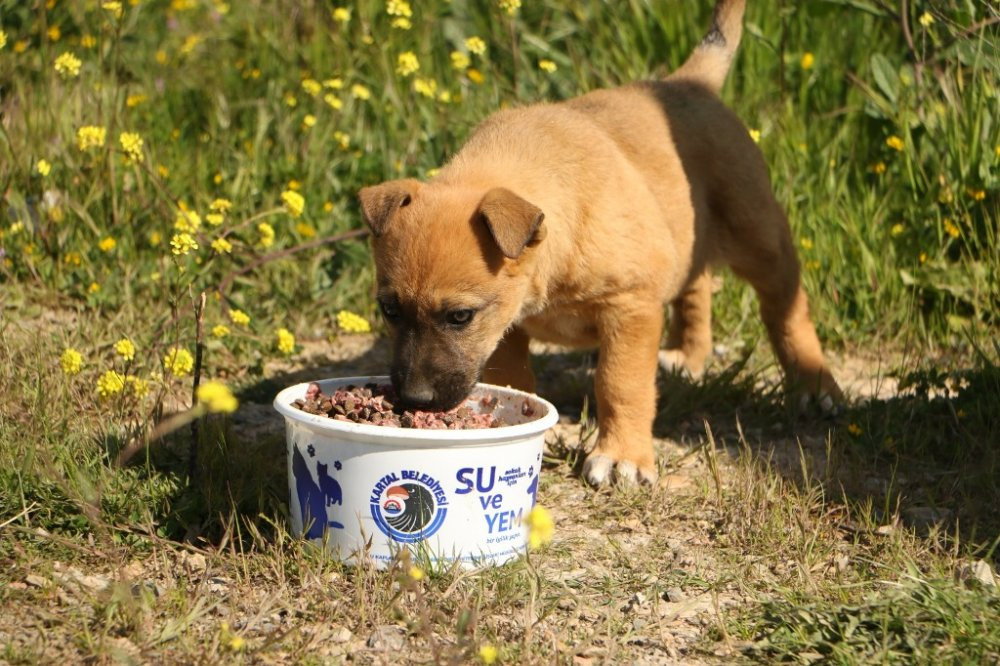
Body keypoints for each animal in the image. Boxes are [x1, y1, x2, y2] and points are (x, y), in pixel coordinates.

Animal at [360, 1, 844, 488]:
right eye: (389, 310)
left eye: (460, 317)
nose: (414, 400)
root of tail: (687, 81)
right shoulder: (509, 325)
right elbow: (510, 373)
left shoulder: (629, 309)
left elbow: (621, 383)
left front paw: (621, 455)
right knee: (696, 282)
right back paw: (690, 353)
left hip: (759, 237)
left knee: (786, 307)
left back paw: (814, 385)